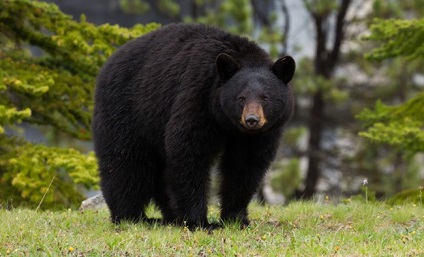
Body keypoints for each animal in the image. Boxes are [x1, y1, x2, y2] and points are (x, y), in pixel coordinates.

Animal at [92, 23, 294, 228]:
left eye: (265, 97)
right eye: (241, 98)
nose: (252, 120)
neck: (226, 122)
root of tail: (108, 62)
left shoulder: (257, 135)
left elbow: (245, 165)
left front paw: (236, 218)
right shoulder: (197, 96)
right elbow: (189, 152)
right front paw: (198, 221)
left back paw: (169, 215)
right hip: (126, 110)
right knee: (125, 163)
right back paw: (131, 216)